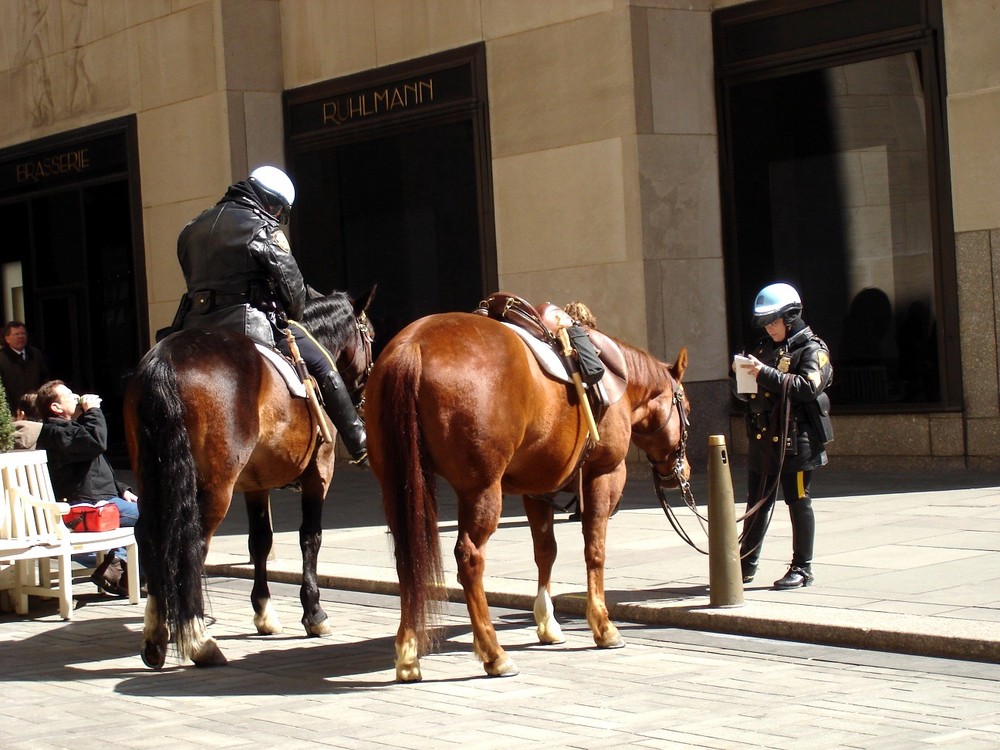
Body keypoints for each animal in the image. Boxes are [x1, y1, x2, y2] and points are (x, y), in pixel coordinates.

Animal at [124, 288, 376, 668]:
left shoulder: (256, 484)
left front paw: (264, 613)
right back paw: (199, 639)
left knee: (150, 535)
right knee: (193, 544)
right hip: (215, 486)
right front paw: (314, 612)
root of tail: (164, 360)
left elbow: (260, 541)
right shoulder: (320, 473)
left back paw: (155, 637)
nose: (364, 393)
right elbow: (310, 537)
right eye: (370, 336)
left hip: (152, 478)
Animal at [366, 312, 688, 680]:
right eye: (686, 406)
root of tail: (413, 345)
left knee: (408, 559)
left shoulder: (537, 488)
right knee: (470, 558)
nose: (681, 471)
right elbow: (595, 550)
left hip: (399, 487)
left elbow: (545, 551)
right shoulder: (603, 475)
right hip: (481, 489)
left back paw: (408, 655)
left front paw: (547, 623)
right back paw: (494, 653)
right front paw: (603, 626)